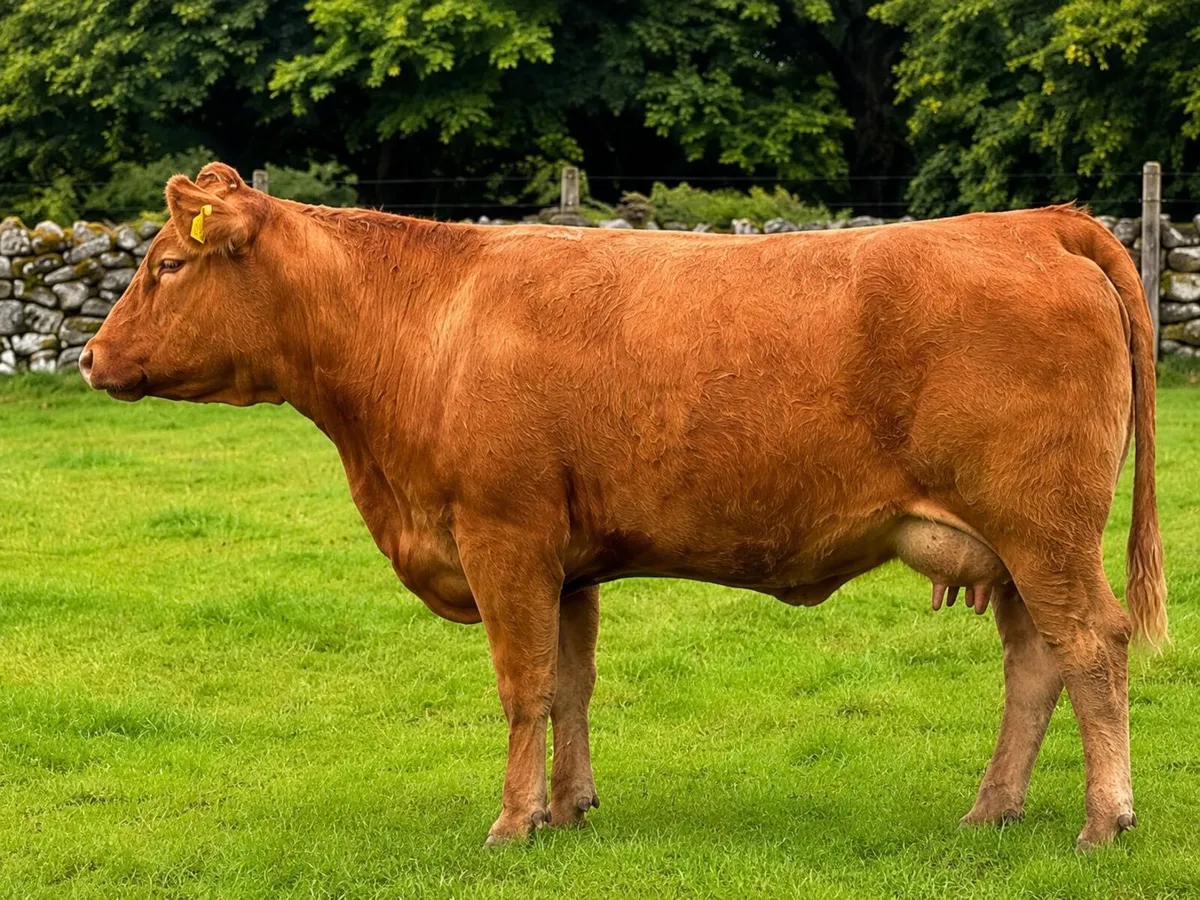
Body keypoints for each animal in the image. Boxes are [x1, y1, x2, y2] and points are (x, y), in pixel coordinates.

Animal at [81, 162, 1166, 850]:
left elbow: (522, 686)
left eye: (167, 265)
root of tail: (1031, 223)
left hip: (1045, 532)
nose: (88, 356)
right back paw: (992, 811)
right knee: (1035, 665)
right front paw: (568, 809)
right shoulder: (567, 562)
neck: (426, 326)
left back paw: (1104, 820)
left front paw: (512, 823)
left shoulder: (504, 537)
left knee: (1093, 648)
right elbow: (570, 686)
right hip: (1013, 549)